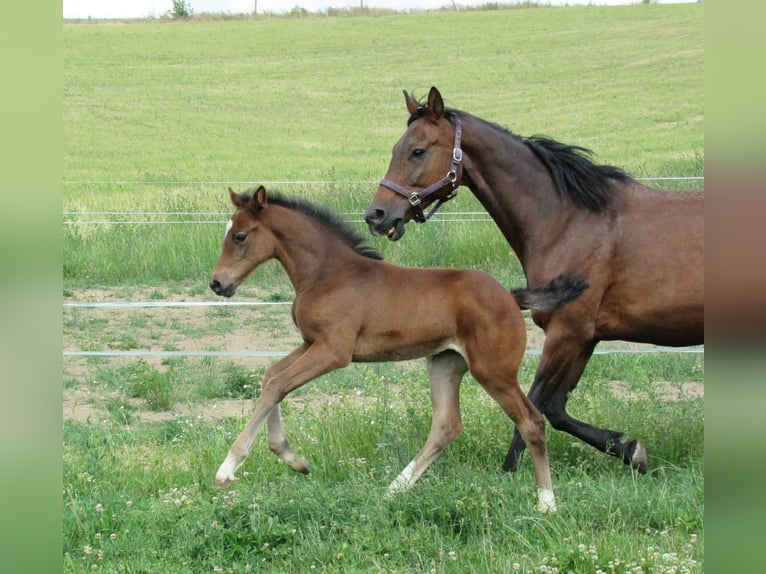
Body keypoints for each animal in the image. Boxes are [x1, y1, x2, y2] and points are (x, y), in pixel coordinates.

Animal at [210, 186, 588, 512]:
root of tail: (511, 297)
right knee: (447, 425)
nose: (217, 283)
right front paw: (294, 460)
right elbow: (271, 376)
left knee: (531, 421)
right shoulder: (310, 343)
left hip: (494, 371)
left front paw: (229, 467)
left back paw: (547, 502)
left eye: (240, 236)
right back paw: (395, 488)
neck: (327, 274)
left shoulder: (334, 350)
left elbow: (277, 384)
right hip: (445, 363)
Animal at [366, 88, 708, 474]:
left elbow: (535, 404)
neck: (568, 220)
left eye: (418, 150)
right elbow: (556, 408)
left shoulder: (566, 331)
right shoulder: (585, 337)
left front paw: (510, 474)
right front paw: (630, 449)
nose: (376, 215)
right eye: (397, 148)